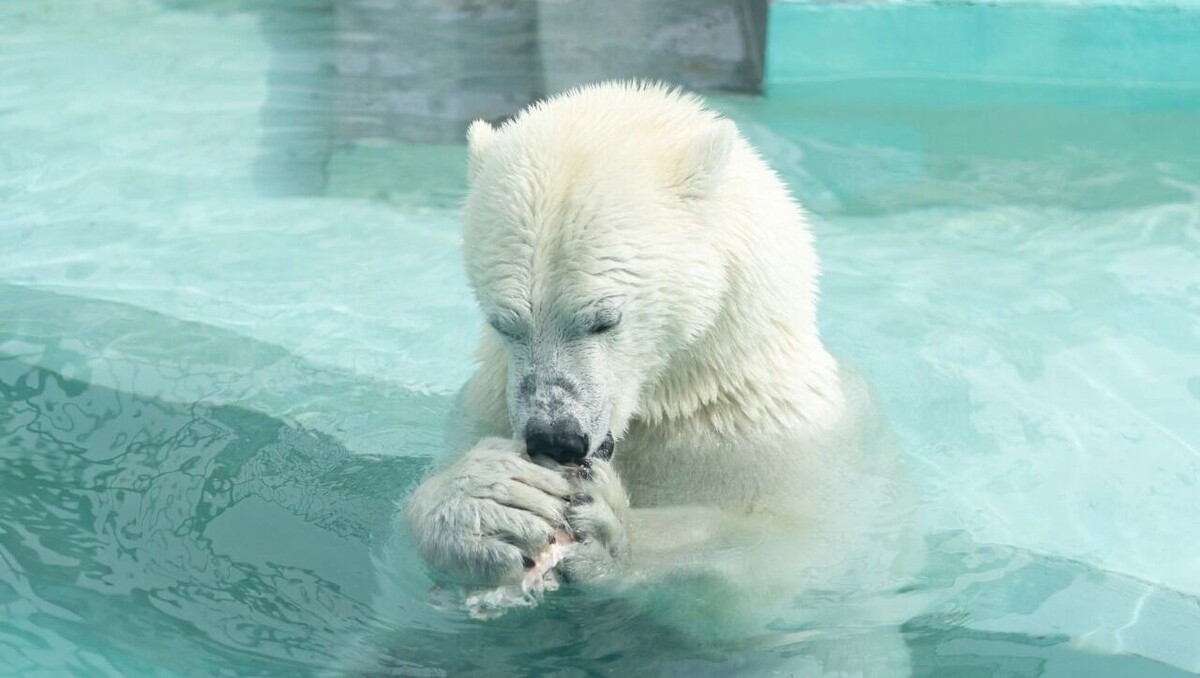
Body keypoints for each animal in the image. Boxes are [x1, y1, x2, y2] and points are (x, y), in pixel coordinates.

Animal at [397, 82, 920, 674]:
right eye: (503, 322)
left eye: (604, 319)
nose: (555, 437)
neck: (681, 400)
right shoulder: (484, 406)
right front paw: (489, 502)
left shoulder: (794, 445)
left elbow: (787, 570)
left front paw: (613, 533)